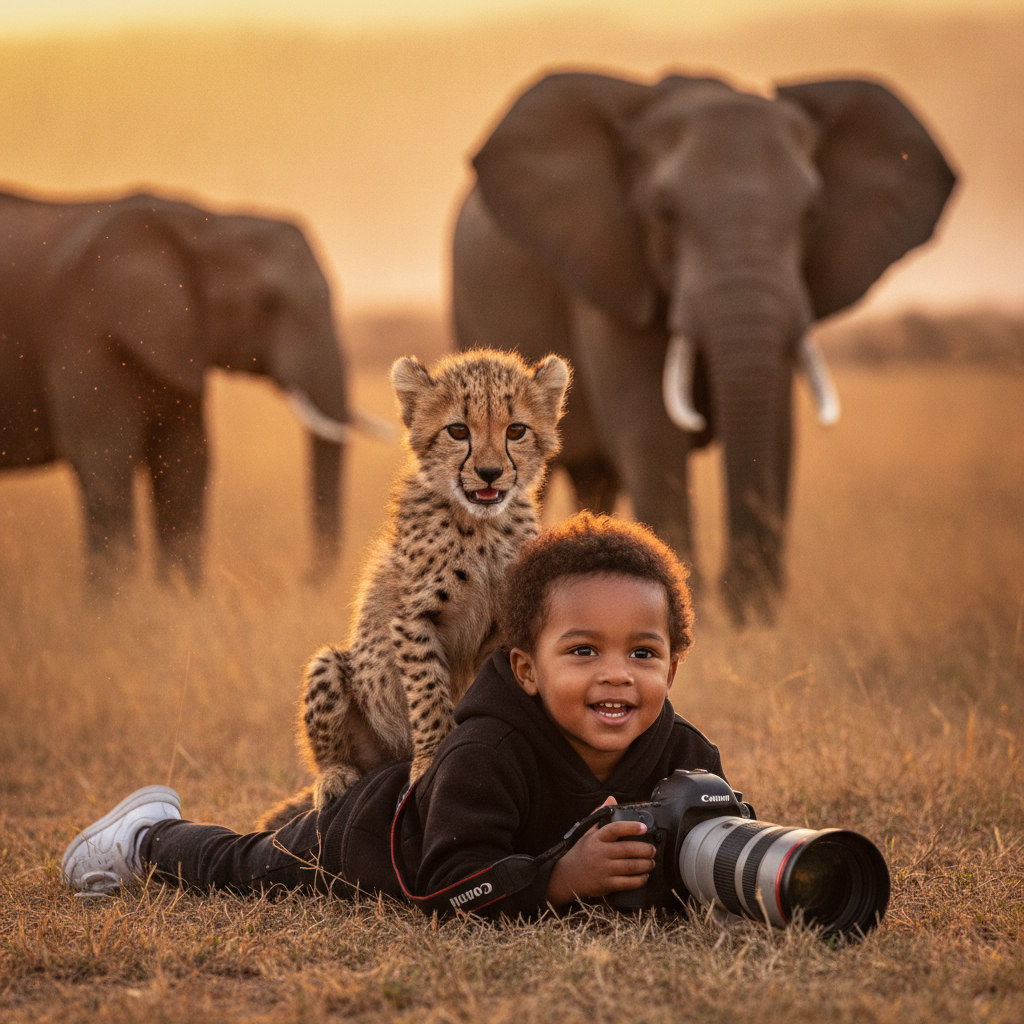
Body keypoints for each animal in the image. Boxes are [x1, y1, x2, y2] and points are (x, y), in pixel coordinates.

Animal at [0, 189, 371, 590]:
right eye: (268, 303)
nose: (300, 579)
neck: (205, 223)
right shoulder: (84, 331)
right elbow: (107, 460)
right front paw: (117, 604)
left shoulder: (181, 340)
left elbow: (188, 463)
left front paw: (178, 598)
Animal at [259, 348, 570, 830]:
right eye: (458, 430)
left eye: (516, 430)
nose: (489, 473)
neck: (480, 526)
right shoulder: (411, 619)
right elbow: (427, 692)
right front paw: (430, 761)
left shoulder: (505, 626)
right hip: (332, 667)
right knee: (331, 754)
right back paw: (335, 777)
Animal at [452, 72, 956, 624]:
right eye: (665, 212)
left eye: (812, 214)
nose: (733, 595)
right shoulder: (612, 273)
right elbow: (654, 428)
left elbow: (777, 430)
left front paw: (749, 619)